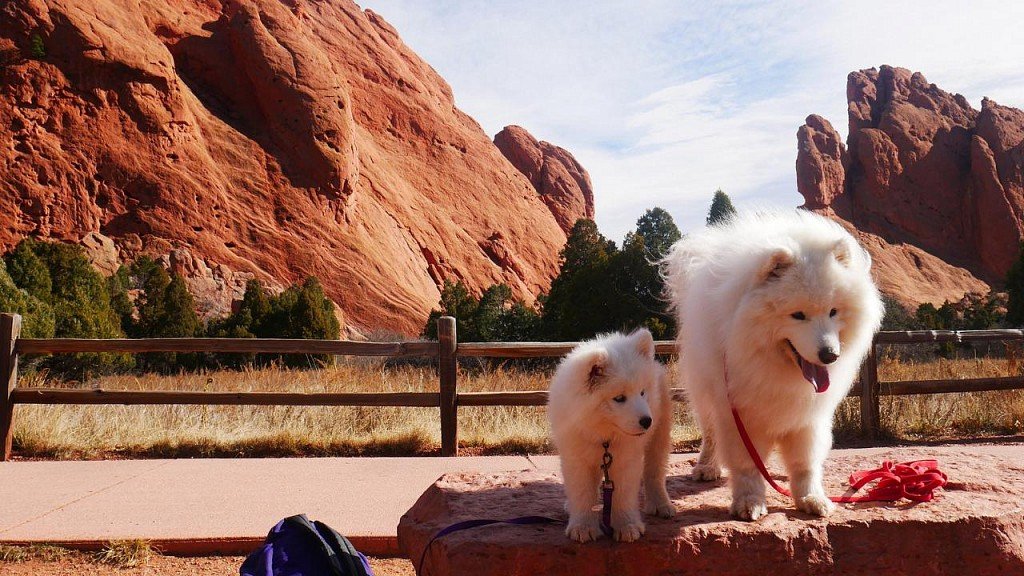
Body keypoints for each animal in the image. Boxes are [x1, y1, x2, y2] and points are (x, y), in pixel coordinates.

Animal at [548, 327, 675, 541]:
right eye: (619, 398)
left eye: (642, 392)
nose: (647, 421)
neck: (604, 434)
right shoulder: (576, 456)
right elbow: (582, 492)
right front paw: (583, 527)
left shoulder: (626, 458)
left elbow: (623, 494)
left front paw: (627, 526)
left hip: (660, 432)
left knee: (655, 471)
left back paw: (661, 505)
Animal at [659, 208, 884, 518]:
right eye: (798, 315)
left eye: (833, 311)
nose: (829, 355)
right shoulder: (740, 413)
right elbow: (747, 464)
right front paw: (749, 503)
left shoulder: (809, 417)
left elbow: (805, 464)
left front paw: (811, 499)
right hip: (706, 394)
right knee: (711, 434)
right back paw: (707, 467)